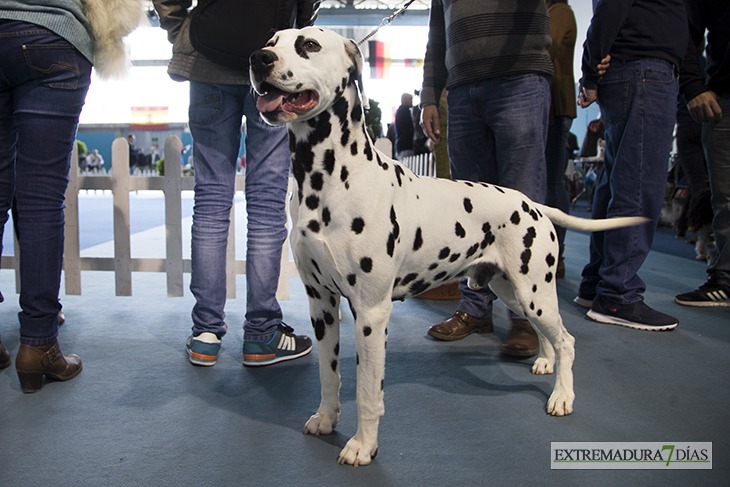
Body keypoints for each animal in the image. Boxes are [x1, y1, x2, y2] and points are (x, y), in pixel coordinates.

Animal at [249, 27, 644, 468]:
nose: (258, 58)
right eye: (273, 41)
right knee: (551, 336)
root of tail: (534, 205)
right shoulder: (321, 304)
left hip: (534, 292)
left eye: (309, 46)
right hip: (514, 292)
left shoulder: (370, 311)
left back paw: (563, 395)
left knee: (568, 340)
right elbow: (328, 374)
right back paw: (545, 361)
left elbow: (368, 390)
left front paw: (363, 445)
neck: (330, 179)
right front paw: (326, 417)